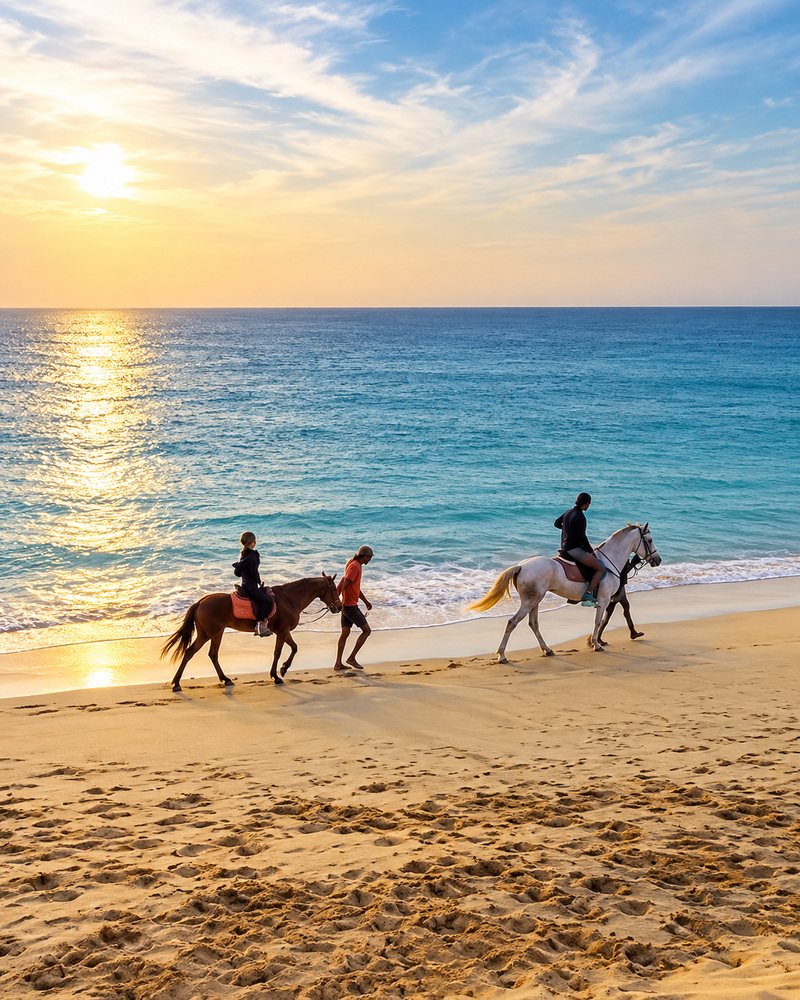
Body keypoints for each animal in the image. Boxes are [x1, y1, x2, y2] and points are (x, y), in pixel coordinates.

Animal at [162, 574, 342, 691]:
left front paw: (283, 668)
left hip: (217, 633)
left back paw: (226, 680)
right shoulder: (282, 632)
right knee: (190, 652)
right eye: (334, 588)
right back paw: (176, 683)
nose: (339, 607)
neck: (289, 599)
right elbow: (278, 652)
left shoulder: (284, 631)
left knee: (213, 654)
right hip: (207, 634)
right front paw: (277, 675)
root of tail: (200, 602)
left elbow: (295, 647)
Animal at [468, 524, 660, 661]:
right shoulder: (604, 599)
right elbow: (598, 622)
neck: (609, 560)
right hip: (529, 601)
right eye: (650, 540)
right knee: (512, 623)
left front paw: (595, 642)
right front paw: (596, 644)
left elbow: (602, 620)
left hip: (535, 600)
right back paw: (502, 655)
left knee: (533, 624)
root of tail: (521, 565)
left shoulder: (606, 600)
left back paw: (547, 650)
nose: (658, 560)